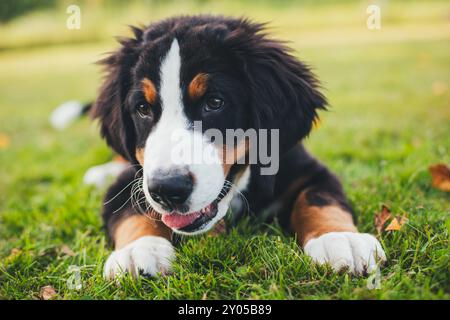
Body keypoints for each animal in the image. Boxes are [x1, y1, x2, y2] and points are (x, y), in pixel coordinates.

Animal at [89, 15, 384, 280]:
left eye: (214, 102)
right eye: (142, 109)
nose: (167, 190)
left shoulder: (308, 169)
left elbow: (319, 199)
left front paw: (340, 238)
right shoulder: (130, 182)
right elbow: (132, 214)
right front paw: (138, 250)